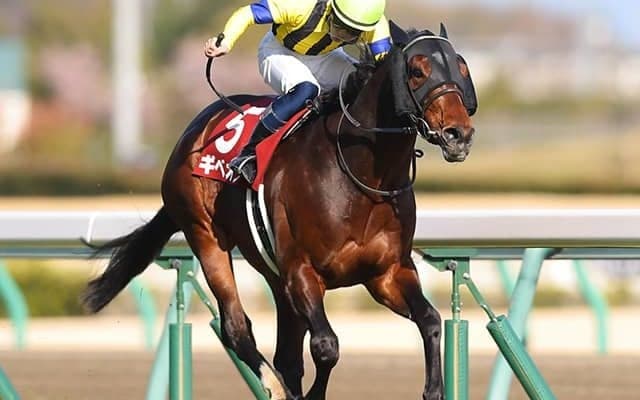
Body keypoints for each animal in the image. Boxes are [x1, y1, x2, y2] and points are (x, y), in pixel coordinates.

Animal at [82, 22, 476, 400]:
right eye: (417, 70)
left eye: (461, 66)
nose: (459, 134)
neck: (361, 175)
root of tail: (195, 130)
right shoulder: (301, 271)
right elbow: (326, 346)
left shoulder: (387, 272)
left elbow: (430, 320)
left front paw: (434, 389)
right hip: (205, 235)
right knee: (237, 327)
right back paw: (272, 384)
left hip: (274, 274)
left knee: (286, 353)